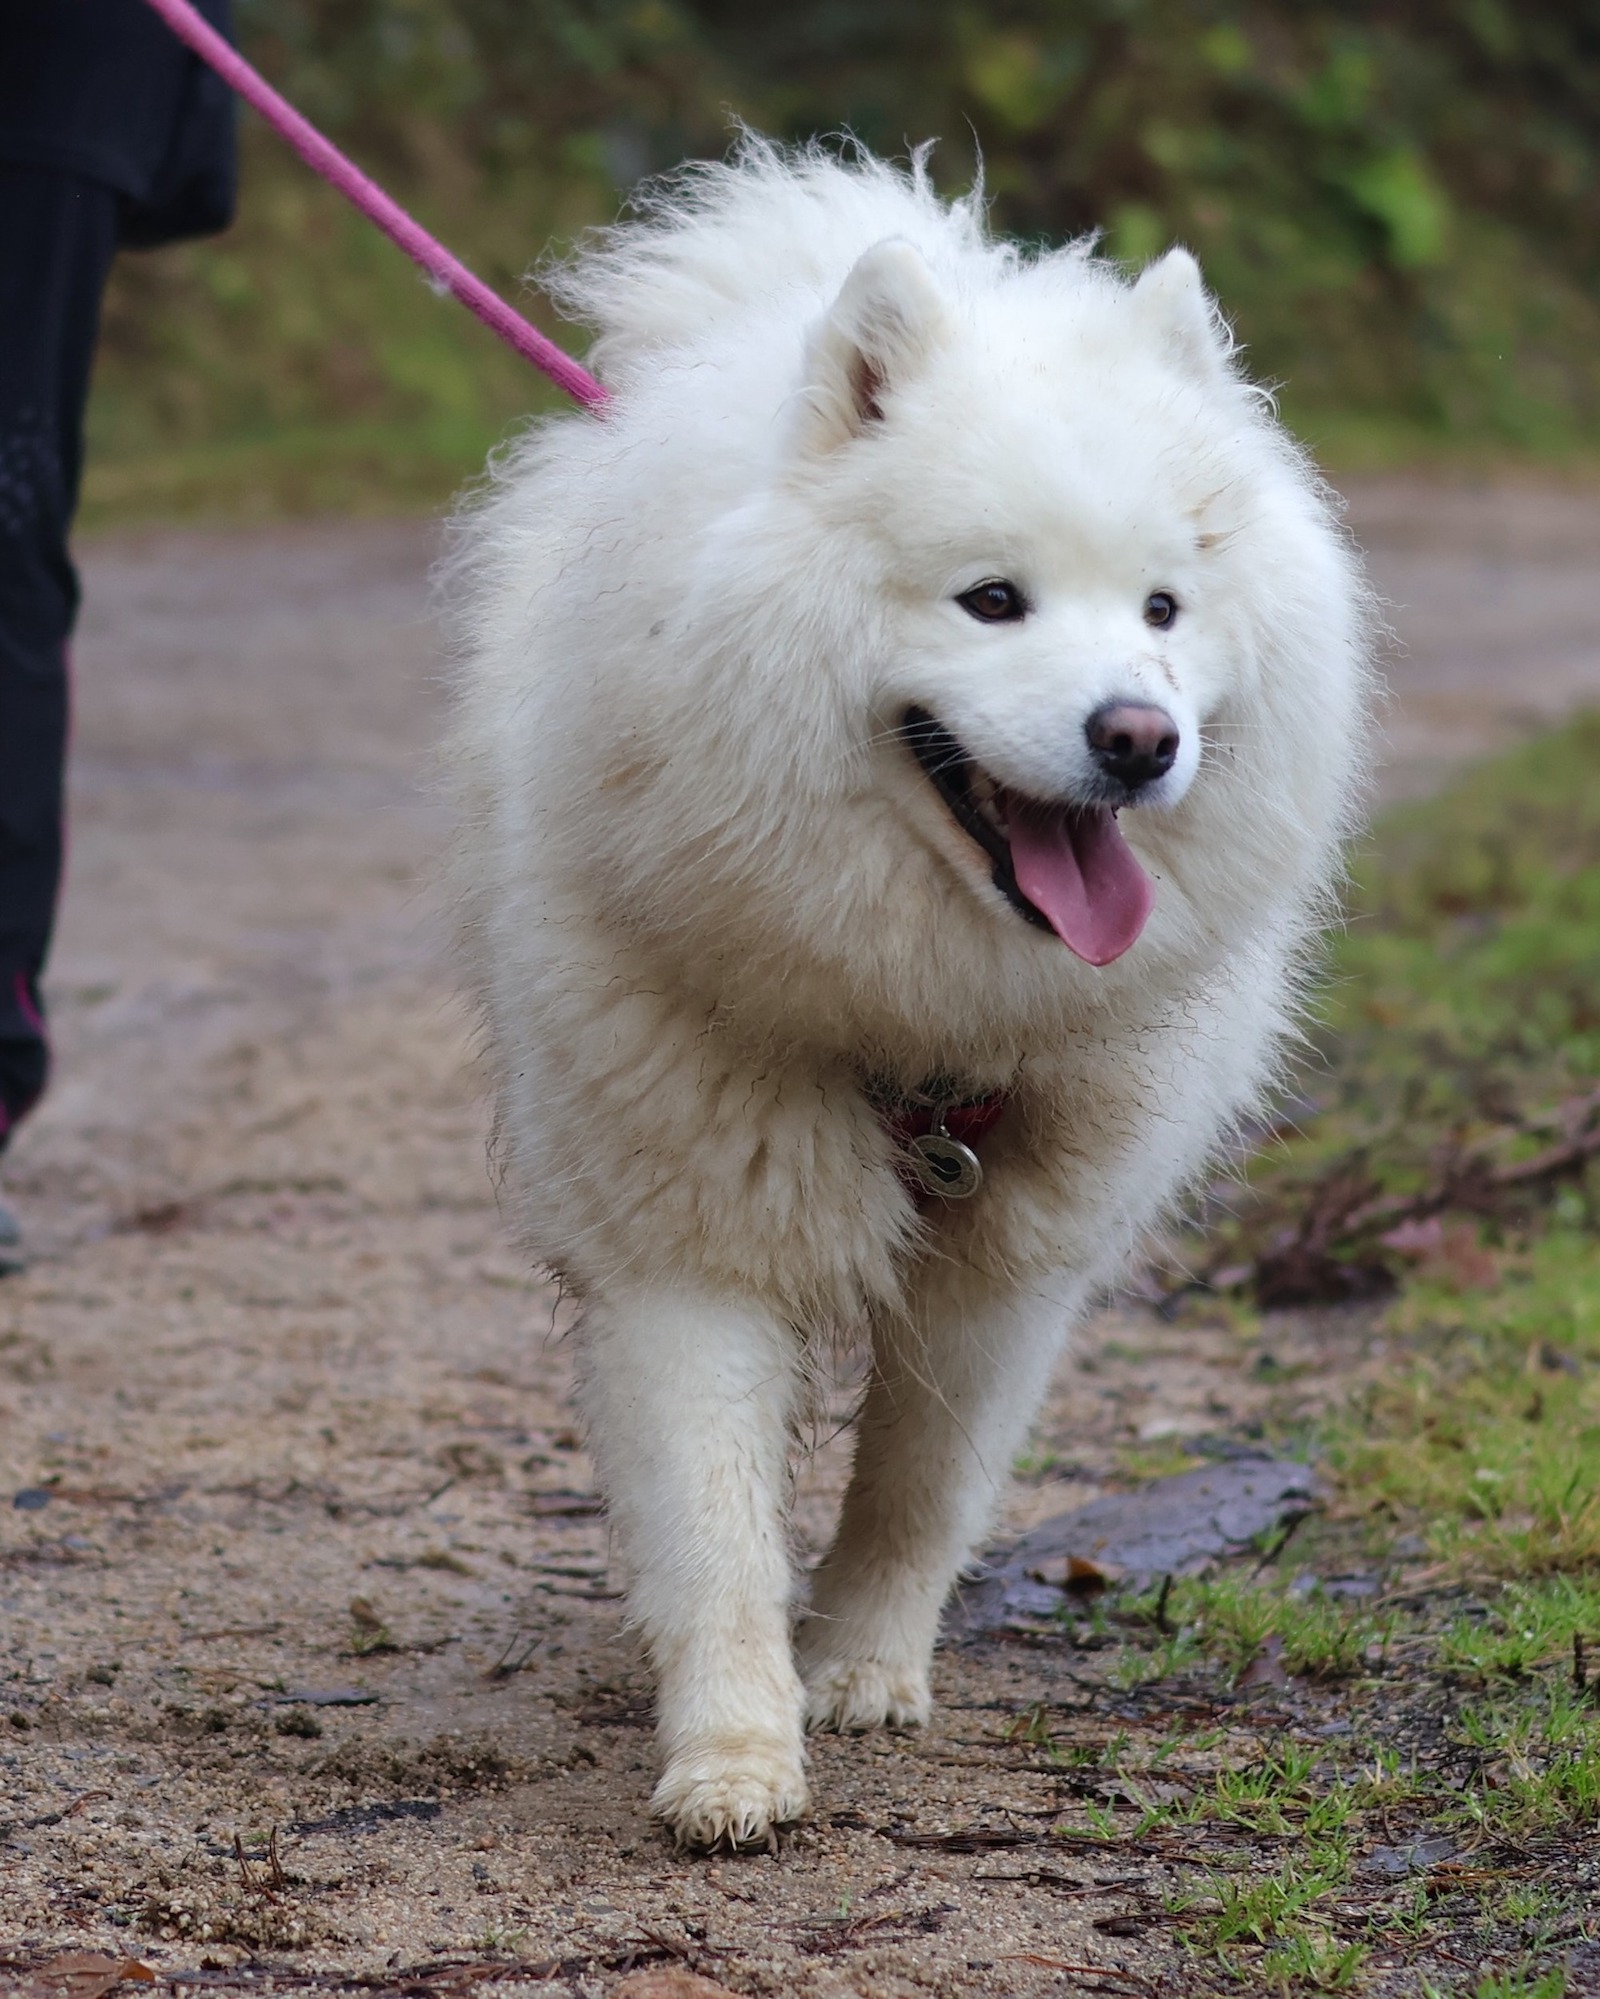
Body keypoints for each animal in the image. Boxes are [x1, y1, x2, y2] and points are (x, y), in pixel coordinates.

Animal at [445, 137, 1372, 1850]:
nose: (1140, 734)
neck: (915, 1015)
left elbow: (919, 1484)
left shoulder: (1009, 1252)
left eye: (1163, 608)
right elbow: (716, 1515)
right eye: (992, 600)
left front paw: (864, 1666)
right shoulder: (691, 1230)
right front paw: (735, 1753)